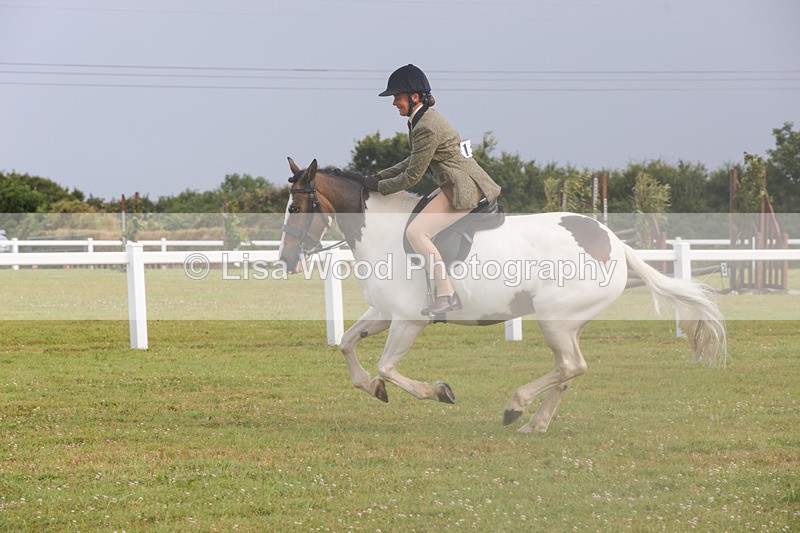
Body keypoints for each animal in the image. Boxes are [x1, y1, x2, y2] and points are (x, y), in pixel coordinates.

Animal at [278, 158, 727, 433]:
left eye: (296, 209)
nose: (285, 260)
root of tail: (615, 243)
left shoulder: (408, 320)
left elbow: (388, 366)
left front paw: (438, 392)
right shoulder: (384, 312)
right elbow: (347, 343)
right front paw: (371, 388)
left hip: (553, 318)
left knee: (571, 366)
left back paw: (516, 406)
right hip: (568, 323)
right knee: (568, 370)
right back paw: (534, 423)